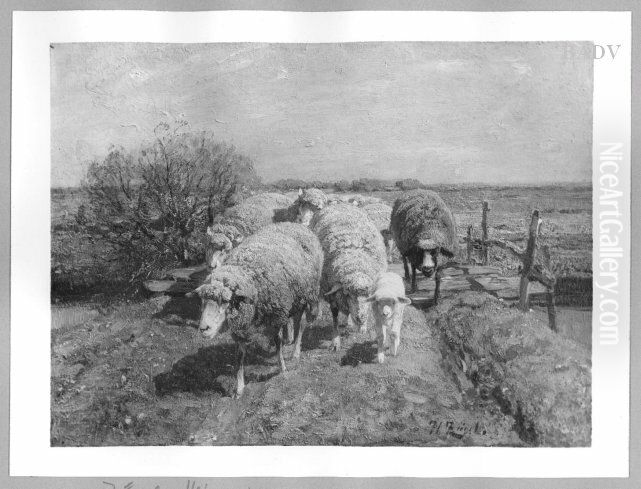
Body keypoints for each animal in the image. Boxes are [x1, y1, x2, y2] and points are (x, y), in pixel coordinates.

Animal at [191, 222, 323, 397]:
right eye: (203, 301)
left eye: (225, 301)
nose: (203, 328)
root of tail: (293, 224)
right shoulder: (240, 328)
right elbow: (239, 357)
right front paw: (239, 388)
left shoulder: (276, 316)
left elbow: (277, 343)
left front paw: (282, 368)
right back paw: (290, 339)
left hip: (307, 294)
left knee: (301, 323)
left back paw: (296, 351)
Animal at [310, 204, 388, 350]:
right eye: (348, 295)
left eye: (368, 296)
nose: (360, 318)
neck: (355, 263)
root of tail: (339, 204)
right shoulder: (332, 295)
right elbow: (335, 320)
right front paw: (335, 341)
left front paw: (362, 327)